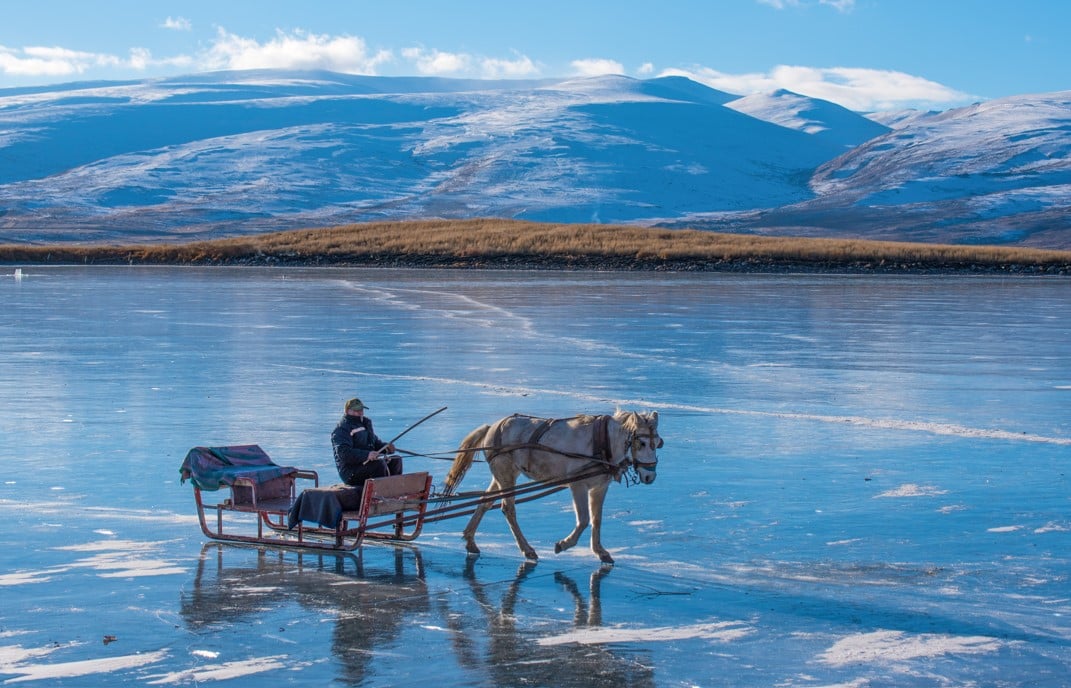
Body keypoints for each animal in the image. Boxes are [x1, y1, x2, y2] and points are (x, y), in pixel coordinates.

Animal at [441, 407, 659, 561]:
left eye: (658, 442)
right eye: (641, 443)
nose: (650, 476)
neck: (602, 441)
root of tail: (491, 427)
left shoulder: (599, 487)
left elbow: (596, 520)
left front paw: (600, 551)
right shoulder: (578, 485)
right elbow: (583, 520)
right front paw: (563, 544)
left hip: (503, 475)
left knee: (485, 501)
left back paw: (470, 540)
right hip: (506, 474)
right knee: (508, 509)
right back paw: (527, 549)